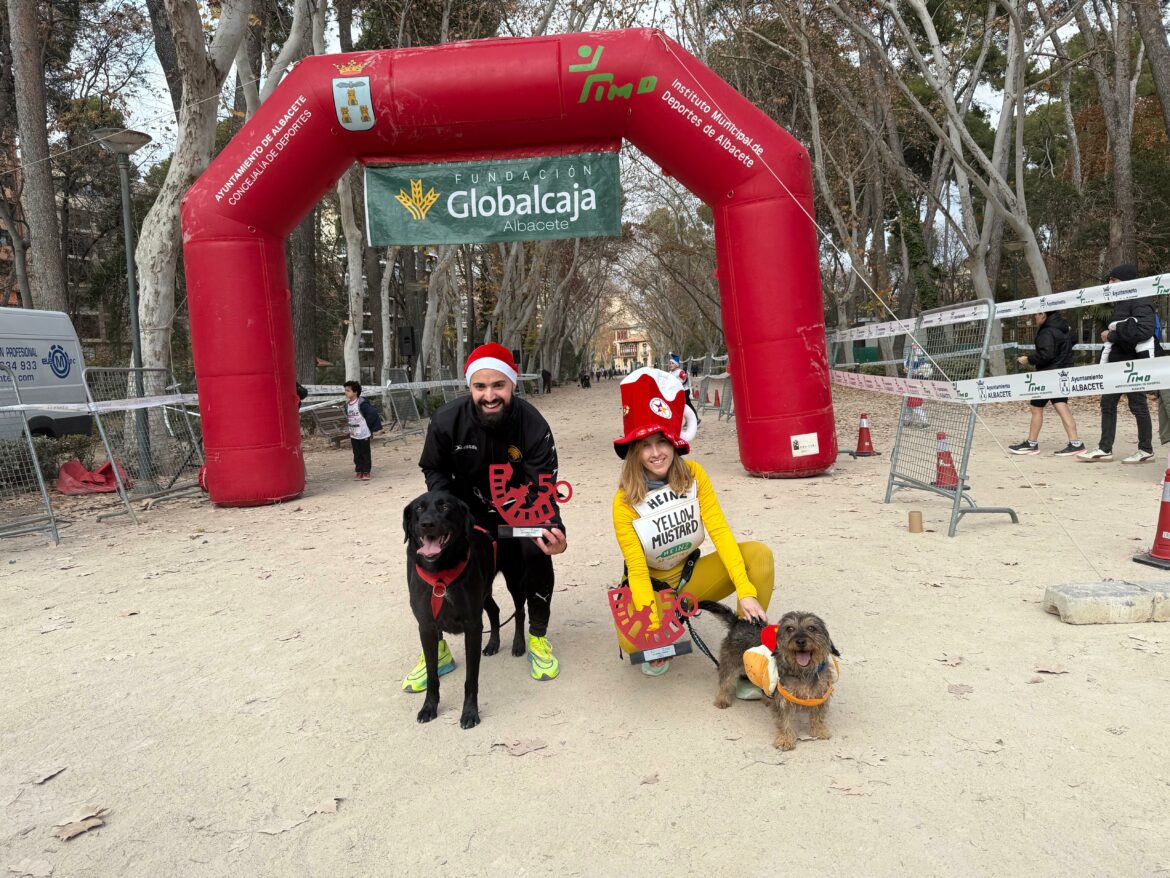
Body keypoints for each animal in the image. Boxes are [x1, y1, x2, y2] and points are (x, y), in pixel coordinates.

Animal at [404, 491, 500, 730]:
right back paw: (493, 644)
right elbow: (432, 675)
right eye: (419, 508)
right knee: (495, 610)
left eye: (445, 506)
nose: (427, 524)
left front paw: (470, 712)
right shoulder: (426, 626)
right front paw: (429, 707)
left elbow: (471, 679)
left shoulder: (472, 626)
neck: (440, 572)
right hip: (484, 593)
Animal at [697, 604, 837, 753]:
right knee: (725, 682)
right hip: (731, 664)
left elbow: (818, 715)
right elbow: (785, 721)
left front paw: (819, 730)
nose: (800, 641)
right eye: (790, 629)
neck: (802, 672)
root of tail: (740, 622)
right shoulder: (783, 700)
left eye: (811, 628)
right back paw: (722, 699)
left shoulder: (820, 695)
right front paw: (785, 739)